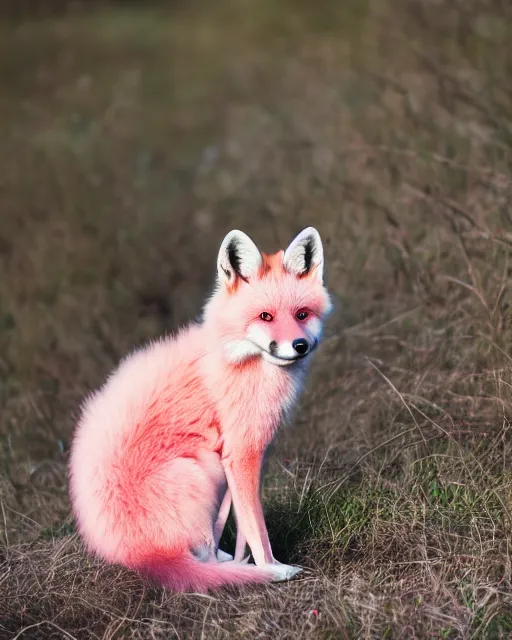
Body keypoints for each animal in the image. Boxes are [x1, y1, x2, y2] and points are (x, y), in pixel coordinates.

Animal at [69, 228, 332, 592]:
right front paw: (271, 569)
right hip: (201, 471)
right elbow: (257, 531)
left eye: (302, 314)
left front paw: (245, 562)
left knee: (209, 549)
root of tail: (141, 557)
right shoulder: (241, 453)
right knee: (203, 551)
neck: (241, 359)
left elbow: (240, 526)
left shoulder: (251, 453)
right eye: (265, 317)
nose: (299, 346)